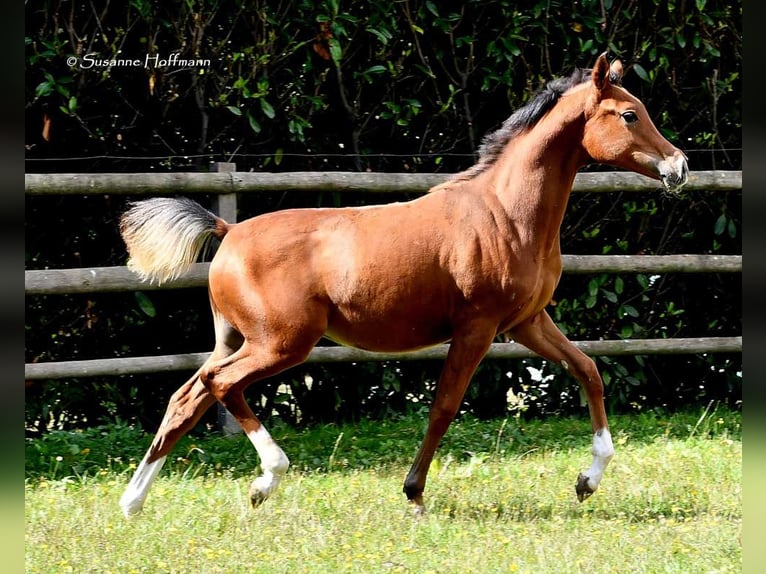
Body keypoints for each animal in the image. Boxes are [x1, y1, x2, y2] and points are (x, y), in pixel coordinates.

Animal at [118, 54, 688, 520]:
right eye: (630, 114)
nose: (678, 166)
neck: (505, 214)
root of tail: (228, 231)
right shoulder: (478, 326)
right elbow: (444, 407)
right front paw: (414, 494)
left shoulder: (527, 321)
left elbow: (588, 370)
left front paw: (587, 481)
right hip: (281, 343)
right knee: (219, 384)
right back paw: (265, 480)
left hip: (240, 339)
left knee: (189, 396)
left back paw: (134, 501)